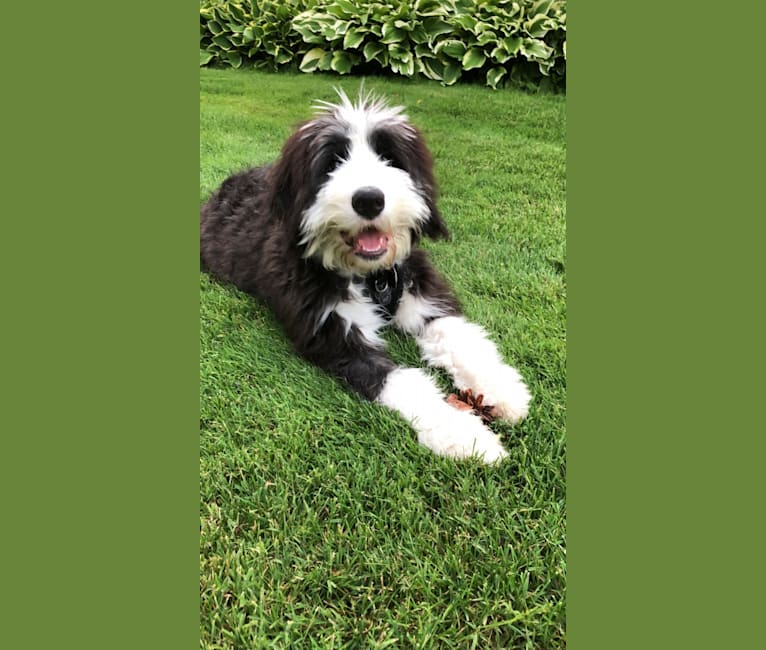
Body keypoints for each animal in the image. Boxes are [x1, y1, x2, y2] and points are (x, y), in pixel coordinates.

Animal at [201, 92, 532, 466]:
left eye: (389, 157)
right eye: (332, 161)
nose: (369, 199)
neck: (372, 277)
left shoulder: (422, 291)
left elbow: (459, 335)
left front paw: (502, 389)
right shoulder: (334, 333)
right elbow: (405, 381)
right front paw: (464, 434)